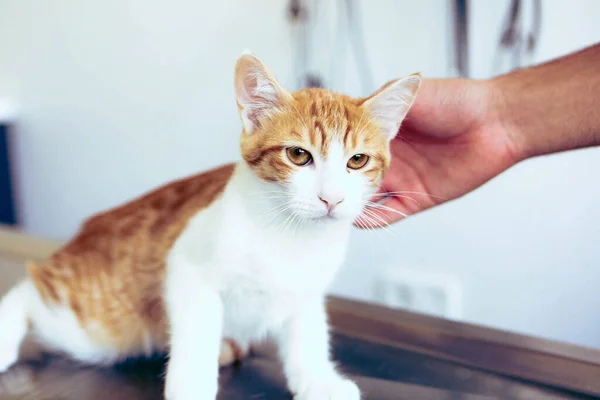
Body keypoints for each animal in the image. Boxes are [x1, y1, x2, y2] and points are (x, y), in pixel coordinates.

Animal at [0, 50, 422, 400]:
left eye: (357, 161)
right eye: (299, 155)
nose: (331, 199)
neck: (291, 234)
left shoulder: (307, 289)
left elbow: (307, 333)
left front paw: (317, 380)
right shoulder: (187, 267)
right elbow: (197, 331)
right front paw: (192, 387)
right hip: (98, 323)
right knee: (32, 289)